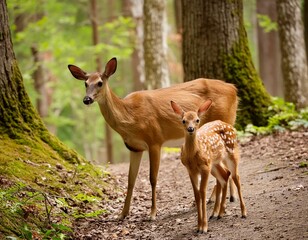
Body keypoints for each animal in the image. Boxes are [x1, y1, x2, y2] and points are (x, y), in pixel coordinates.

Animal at [68, 57, 238, 220]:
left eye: (100, 83)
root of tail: (234, 89)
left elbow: (153, 178)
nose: (87, 99)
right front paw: (122, 214)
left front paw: (152, 213)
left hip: (223, 121)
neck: (130, 117)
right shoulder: (134, 148)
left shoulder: (155, 140)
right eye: (85, 83)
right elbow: (131, 180)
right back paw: (220, 198)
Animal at [170, 100, 247, 232]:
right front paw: (198, 226)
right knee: (225, 175)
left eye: (197, 120)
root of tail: (229, 125)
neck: (193, 156)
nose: (190, 129)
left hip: (231, 153)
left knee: (236, 176)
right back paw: (219, 213)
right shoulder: (191, 170)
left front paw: (204, 227)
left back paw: (243, 212)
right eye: (183, 120)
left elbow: (203, 192)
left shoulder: (205, 167)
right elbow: (196, 194)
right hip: (215, 163)